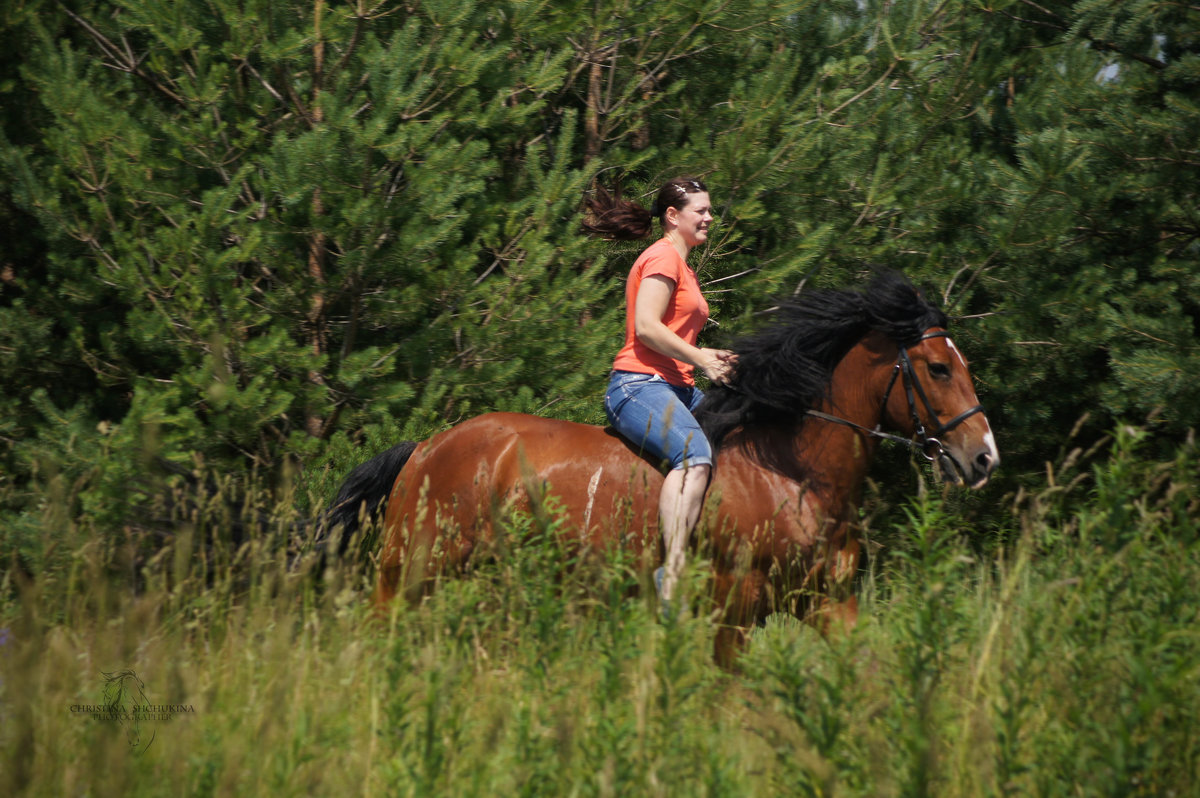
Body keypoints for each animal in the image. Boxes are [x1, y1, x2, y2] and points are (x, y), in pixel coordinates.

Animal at [326, 271, 993, 662]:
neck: (794, 476)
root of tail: (424, 447)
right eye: (938, 368)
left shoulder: (827, 603)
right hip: (411, 568)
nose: (984, 457)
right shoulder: (735, 607)